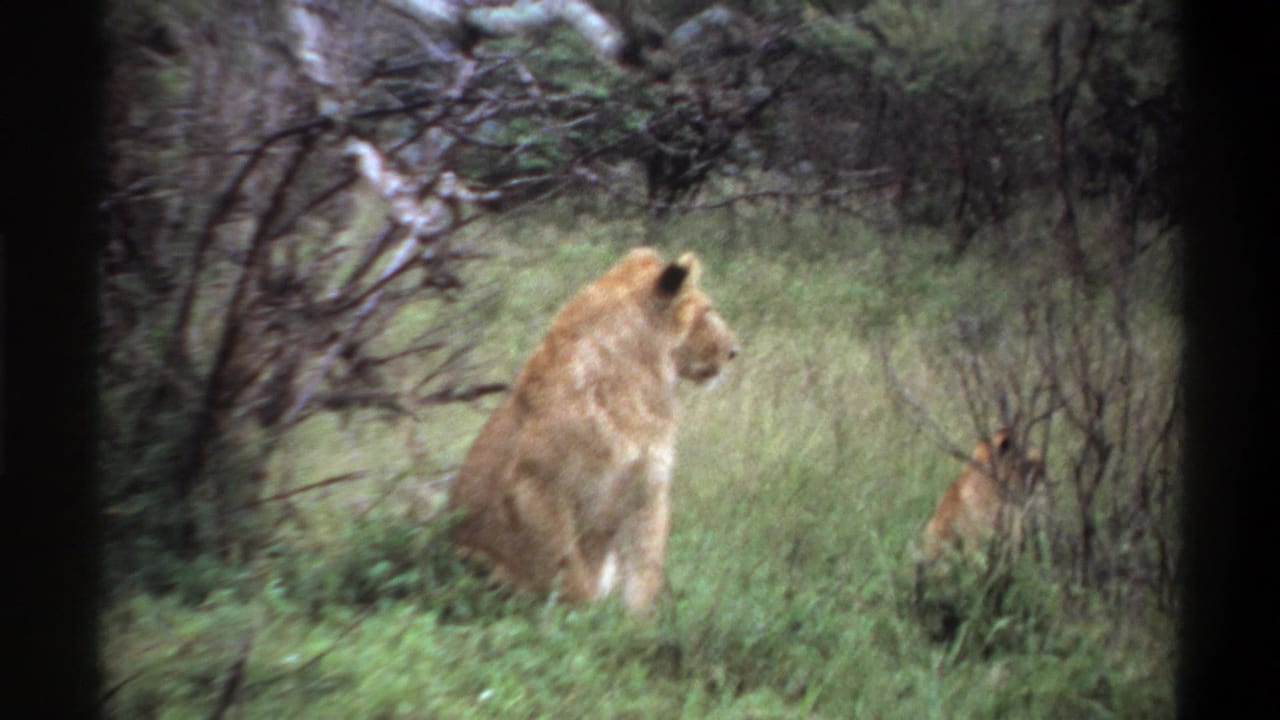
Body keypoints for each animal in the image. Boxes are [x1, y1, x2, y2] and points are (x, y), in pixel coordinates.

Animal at [446, 246, 739, 616]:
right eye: (707, 311)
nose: (734, 351)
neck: (638, 383)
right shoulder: (535, 488)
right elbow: (570, 572)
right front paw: (585, 619)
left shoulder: (648, 489)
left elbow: (644, 572)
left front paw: (633, 625)